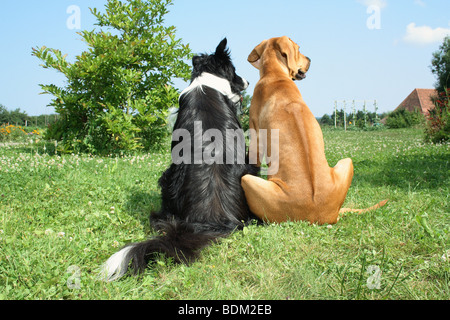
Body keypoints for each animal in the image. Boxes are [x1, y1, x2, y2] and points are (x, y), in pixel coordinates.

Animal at [241, 37, 384, 225]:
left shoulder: (255, 134)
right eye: (298, 49)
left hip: (248, 181)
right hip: (347, 162)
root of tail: (324, 214)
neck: (276, 75)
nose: (310, 59)